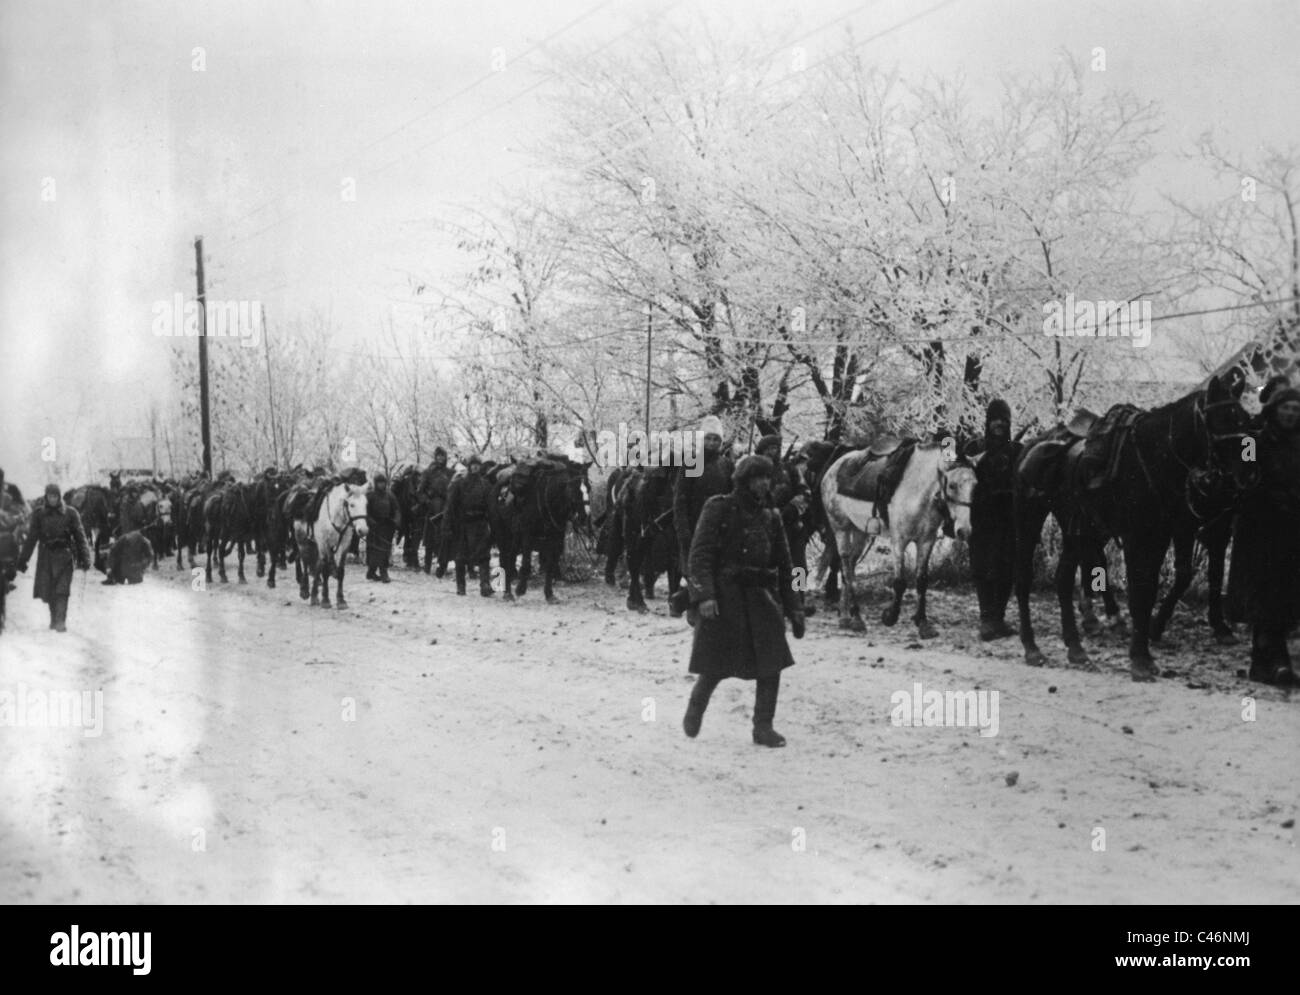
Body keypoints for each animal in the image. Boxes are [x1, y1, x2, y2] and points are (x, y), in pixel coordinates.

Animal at [493, 455, 592, 600]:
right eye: (574, 489)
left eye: (589, 488)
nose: (585, 516)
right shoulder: (527, 535)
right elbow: (526, 563)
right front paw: (520, 589)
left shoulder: (555, 538)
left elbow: (550, 564)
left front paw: (549, 594)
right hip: (503, 534)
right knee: (505, 559)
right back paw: (508, 592)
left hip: (514, 536)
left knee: (510, 558)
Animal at [821, 442, 977, 637]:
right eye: (953, 485)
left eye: (975, 486)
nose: (965, 531)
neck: (916, 492)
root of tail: (833, 468)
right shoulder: (899, 541)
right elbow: (900, 582)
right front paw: (890, 616)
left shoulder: (926, 541)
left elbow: (922, 581)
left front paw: (923, 623)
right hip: (840, 528)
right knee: (846, 568)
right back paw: (854, 617)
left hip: (860, 531)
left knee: (849, 566)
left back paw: (846, 616)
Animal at [1008, 369, 1253, 681]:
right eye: (1221, 418)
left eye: (1244, 418)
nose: (1247, 473)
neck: (1152, 458)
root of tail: (1028, 446)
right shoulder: (1139, 538)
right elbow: (1139, 593)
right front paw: (1139, 657)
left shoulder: (1162, 537)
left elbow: (1149, 592)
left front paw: (1145, 651)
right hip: (1029, 521)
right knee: (1023, 579)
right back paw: (1032, 647)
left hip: (1077, 530)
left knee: (1063, 579)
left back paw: (1076, 648)